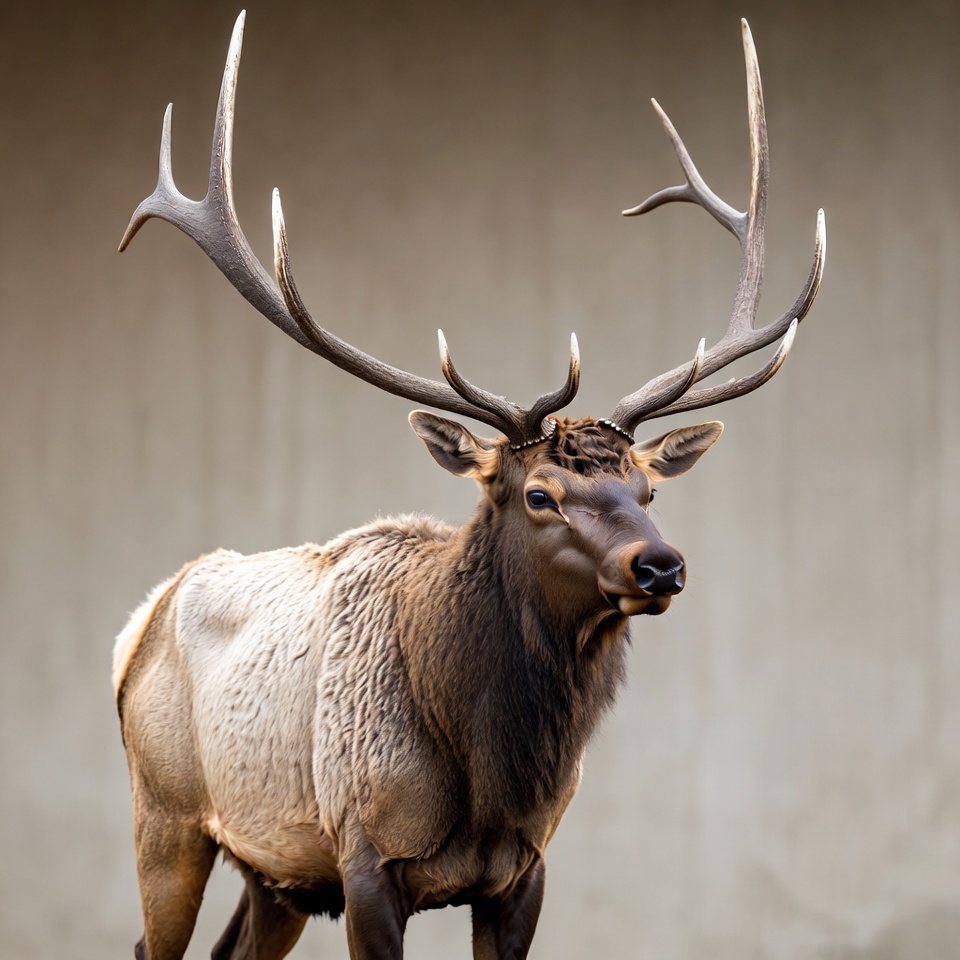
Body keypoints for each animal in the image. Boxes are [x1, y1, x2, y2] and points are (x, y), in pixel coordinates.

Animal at [114, 12, 825, 960]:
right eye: (538, 495)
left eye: (649, 490)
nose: (661, 566)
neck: (488, 780)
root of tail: (140, 620)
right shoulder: (365, 855)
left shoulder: (524, 868)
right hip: (165, 814)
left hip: (276, 871)